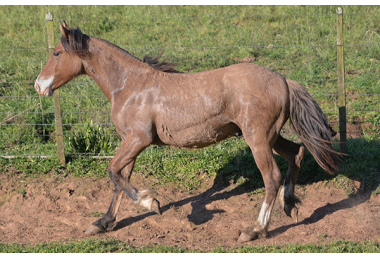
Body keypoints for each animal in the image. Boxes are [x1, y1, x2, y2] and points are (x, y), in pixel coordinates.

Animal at [34, 21, 340, 243]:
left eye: (56, 53)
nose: (39, 85)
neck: (130, 85)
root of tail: (284, 80)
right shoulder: (129, 142)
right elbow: (119, 180)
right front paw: (103, 223)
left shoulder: (138, 139)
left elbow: (113, 172)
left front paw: (151, 202)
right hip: (270, 137)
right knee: (296, 153)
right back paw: (290, 206)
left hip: (258, 139)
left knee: (272, 177)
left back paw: (255, 230)